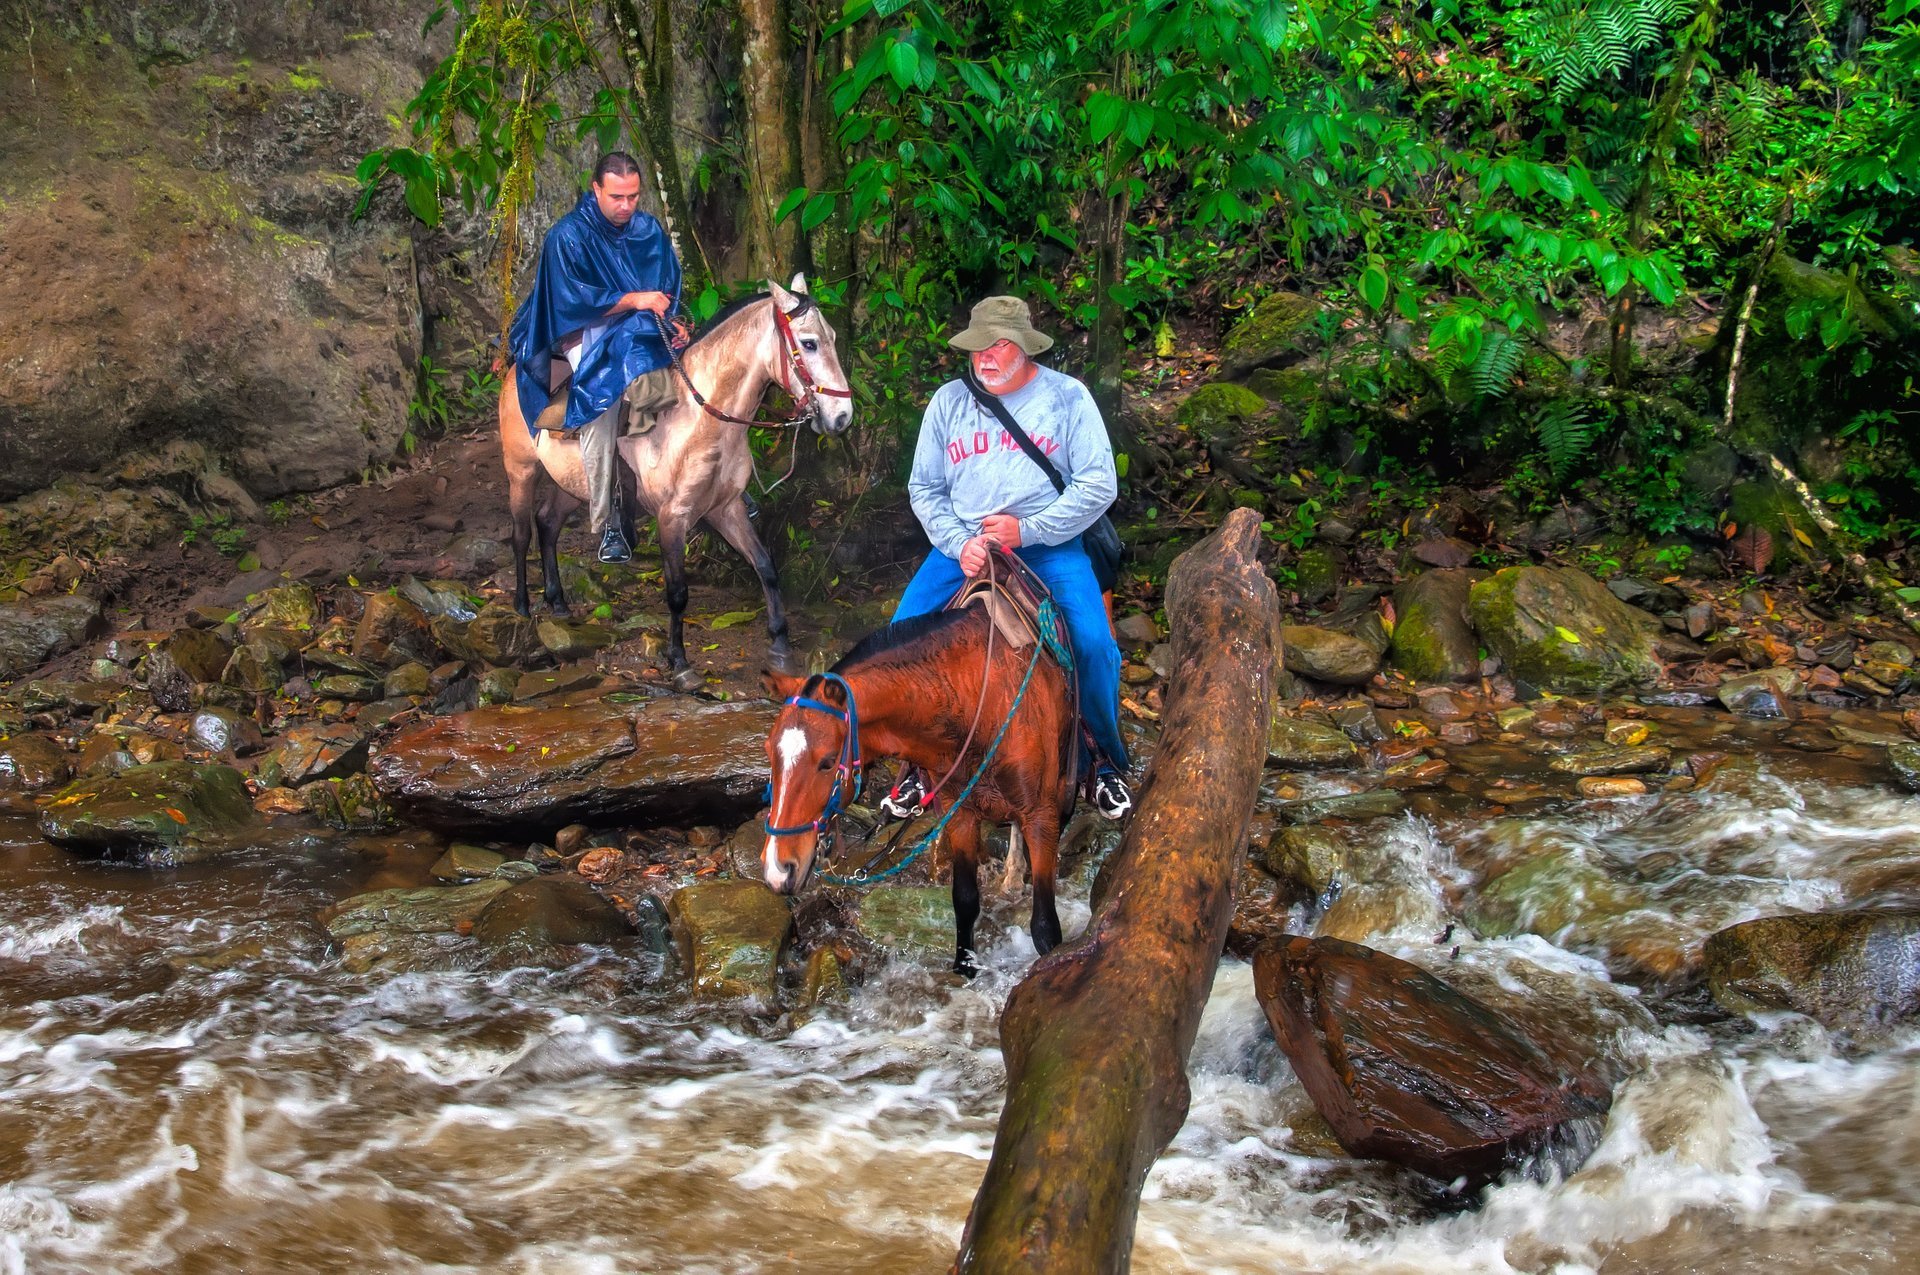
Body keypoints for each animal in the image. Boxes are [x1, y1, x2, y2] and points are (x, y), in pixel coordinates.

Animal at [499, 270, 852, 687]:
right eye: (809, 343)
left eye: (832, 337)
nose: (843, 417)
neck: (701, 420)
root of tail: (514, 370)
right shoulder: (673, 516)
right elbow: (678, 592)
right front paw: (681, 664)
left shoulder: (726, 509)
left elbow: (766, 567)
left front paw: (780, 647)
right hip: (521, 470)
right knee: (522, 533)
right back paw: (522, 608)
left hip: (574, 483)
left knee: (548, 524)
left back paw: (557, 602)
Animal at [756, 602, 1082, 971]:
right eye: (768, 751)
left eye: (826, 762)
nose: (777, 870)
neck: (980, 699)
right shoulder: (960, 810)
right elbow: (965, 900)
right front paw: (964, 968)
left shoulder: (1042, 814)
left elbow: (1045, 928)